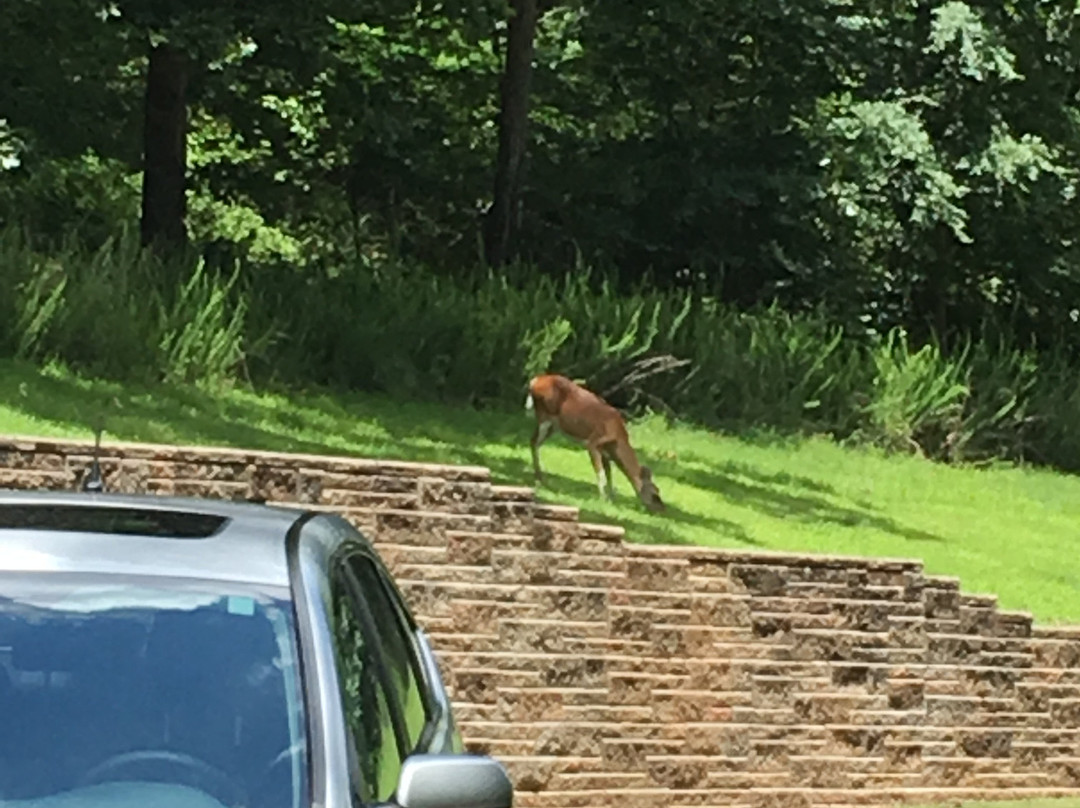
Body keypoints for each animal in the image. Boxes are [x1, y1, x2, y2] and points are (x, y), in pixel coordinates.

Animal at [524, 371, 665, 512]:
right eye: (655, 493)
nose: (662, 509)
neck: (616, 438)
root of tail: (535, 380)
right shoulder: (593, 442)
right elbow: (601, 474)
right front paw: (602, 499)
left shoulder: (606, 452)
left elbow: (609, 474)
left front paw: (612, 498)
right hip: (544, 415)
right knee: (534, 442)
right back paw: (538, 479)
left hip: (554, 425)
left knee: (535, 442)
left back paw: (541, 478)